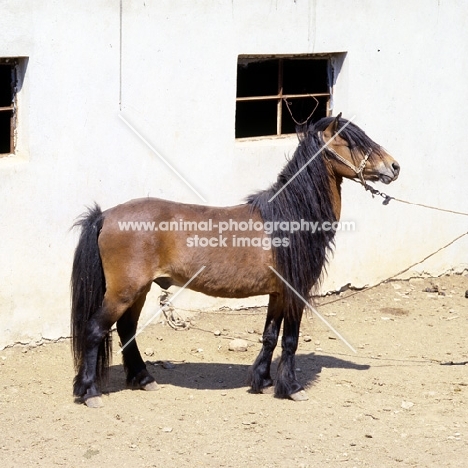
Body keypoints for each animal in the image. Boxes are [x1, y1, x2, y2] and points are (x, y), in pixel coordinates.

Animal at [69, 113, 398, 406]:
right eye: (352, 143)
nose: (394, 166)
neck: (288, 219)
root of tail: (105, 216)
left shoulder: (277, 293)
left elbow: (269, 336)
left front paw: (262, 381)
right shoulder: (295, 292)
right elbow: (290, 340)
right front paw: (291, 388)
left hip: (139, 290)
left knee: (127, 329)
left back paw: (144, 379)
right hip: (124, 291)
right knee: (95, 330)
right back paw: (90, 392)